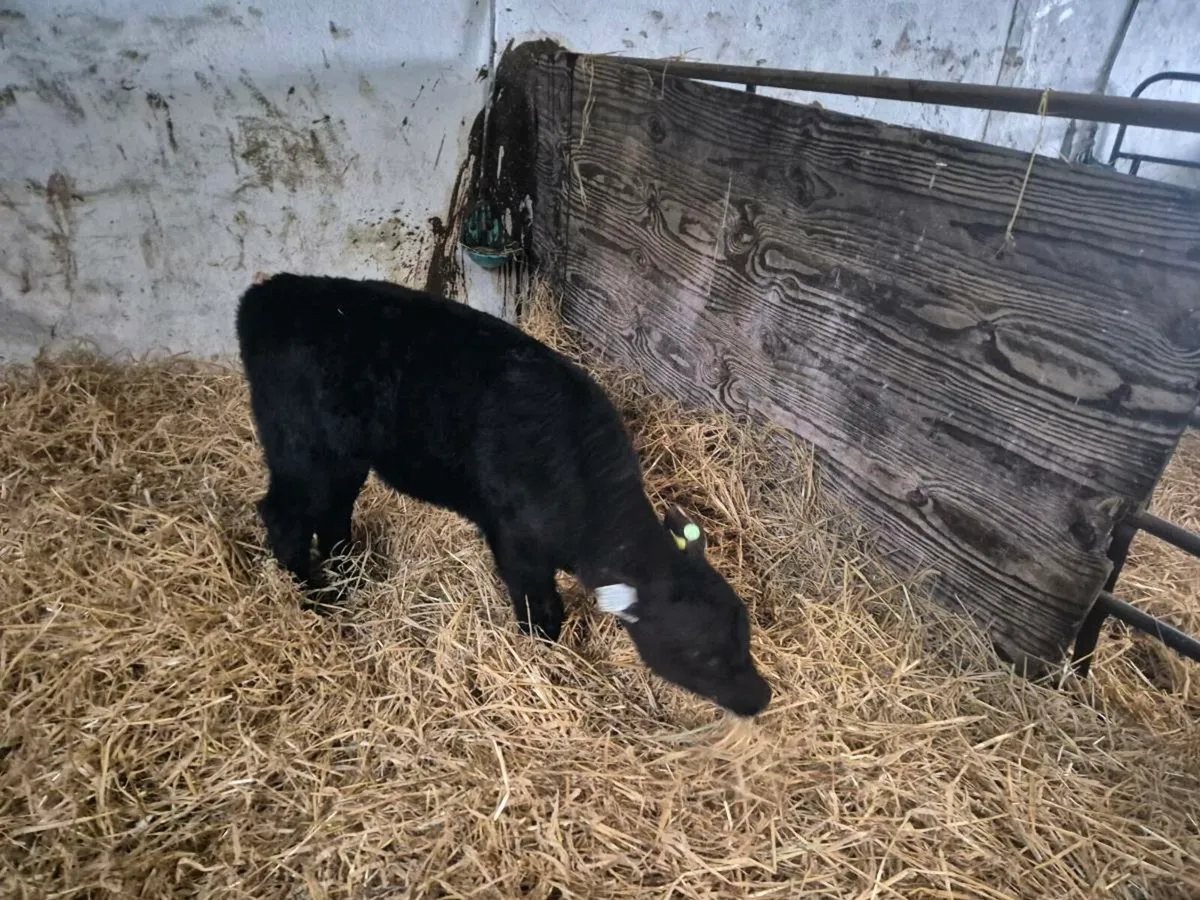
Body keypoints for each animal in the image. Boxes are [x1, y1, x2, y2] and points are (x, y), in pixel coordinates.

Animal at [235, 273, 771, 717]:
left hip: (345, 457)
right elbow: (541, 611)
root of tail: (269, 293)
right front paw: (544, 658)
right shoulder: (515, 543)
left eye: (745, 631)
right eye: (701, 655)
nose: (760, 698)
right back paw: (311, 595)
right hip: (301, 447)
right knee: (284, 515)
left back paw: (350, 573)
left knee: (333, 509)